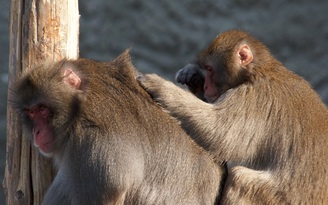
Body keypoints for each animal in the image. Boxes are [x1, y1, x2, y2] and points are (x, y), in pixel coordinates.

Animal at [14, 50, 226, 205]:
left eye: (42, 109)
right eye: (31, 112)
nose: (36, 132)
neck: (79, 108)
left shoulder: (91, 148)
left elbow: (109, 187)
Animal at [136, 29, 328, 204]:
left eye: (210, 69)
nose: (206, 86)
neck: (259, 70)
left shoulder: (253, 99)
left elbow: (216, 131)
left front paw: (158, 85)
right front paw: (193, 77)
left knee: (241, 179)